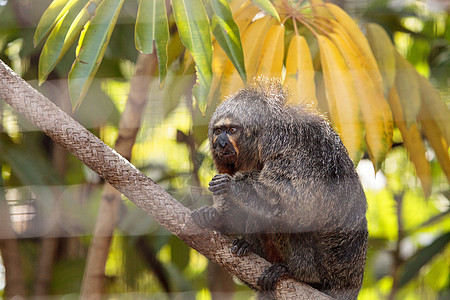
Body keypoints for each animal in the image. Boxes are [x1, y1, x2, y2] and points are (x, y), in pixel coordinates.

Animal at [192, 78, 368, 298]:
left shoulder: (288, 145)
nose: (221, 143)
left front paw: (232, 187)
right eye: (218, 131)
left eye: (232, 130)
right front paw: (215, 216)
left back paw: (299, 273)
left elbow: (296, 204)